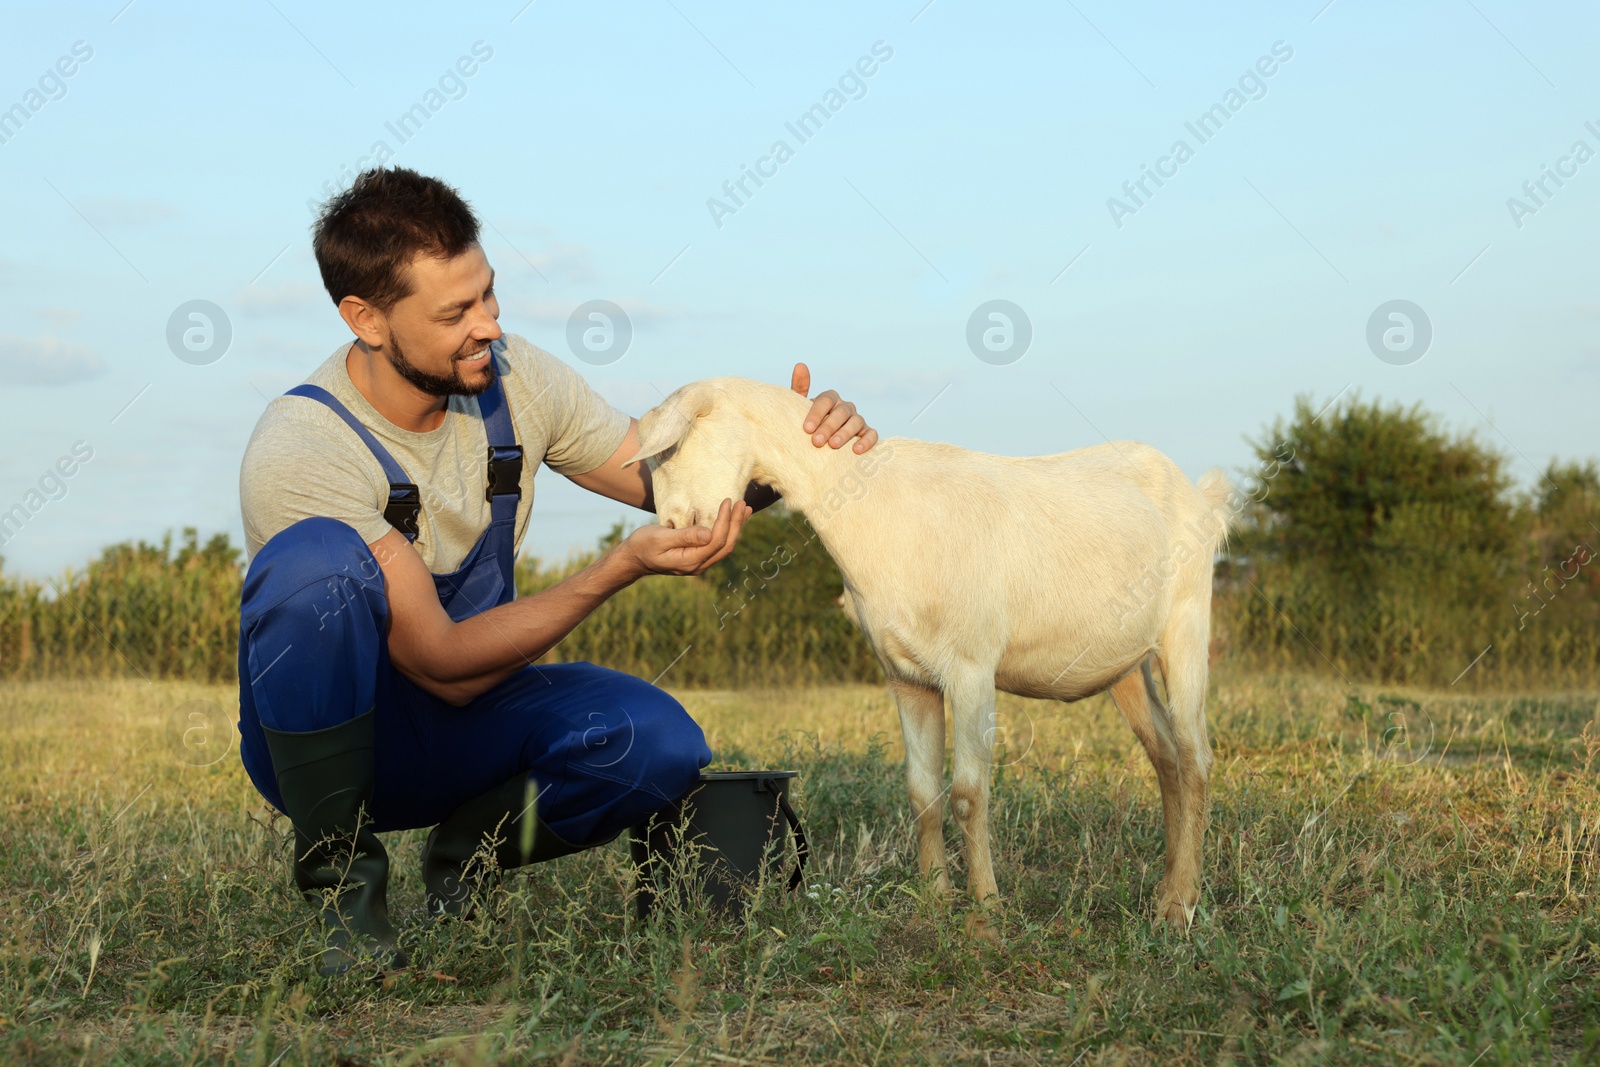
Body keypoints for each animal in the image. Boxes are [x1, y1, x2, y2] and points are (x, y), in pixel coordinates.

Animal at [624, 375, 1235, 934]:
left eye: (672, 447)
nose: (673, 526)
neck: (877, 506)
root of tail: (1200, 497)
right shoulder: (906, 677)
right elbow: (922, 794)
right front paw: (934, 903)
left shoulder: (971, 668)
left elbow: (967, 792)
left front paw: (985, 915)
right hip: (1125, 664)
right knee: (1166, 757)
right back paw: (1166, 891)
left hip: (1185, 626)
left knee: (1196, 758)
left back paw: (1180, 908)